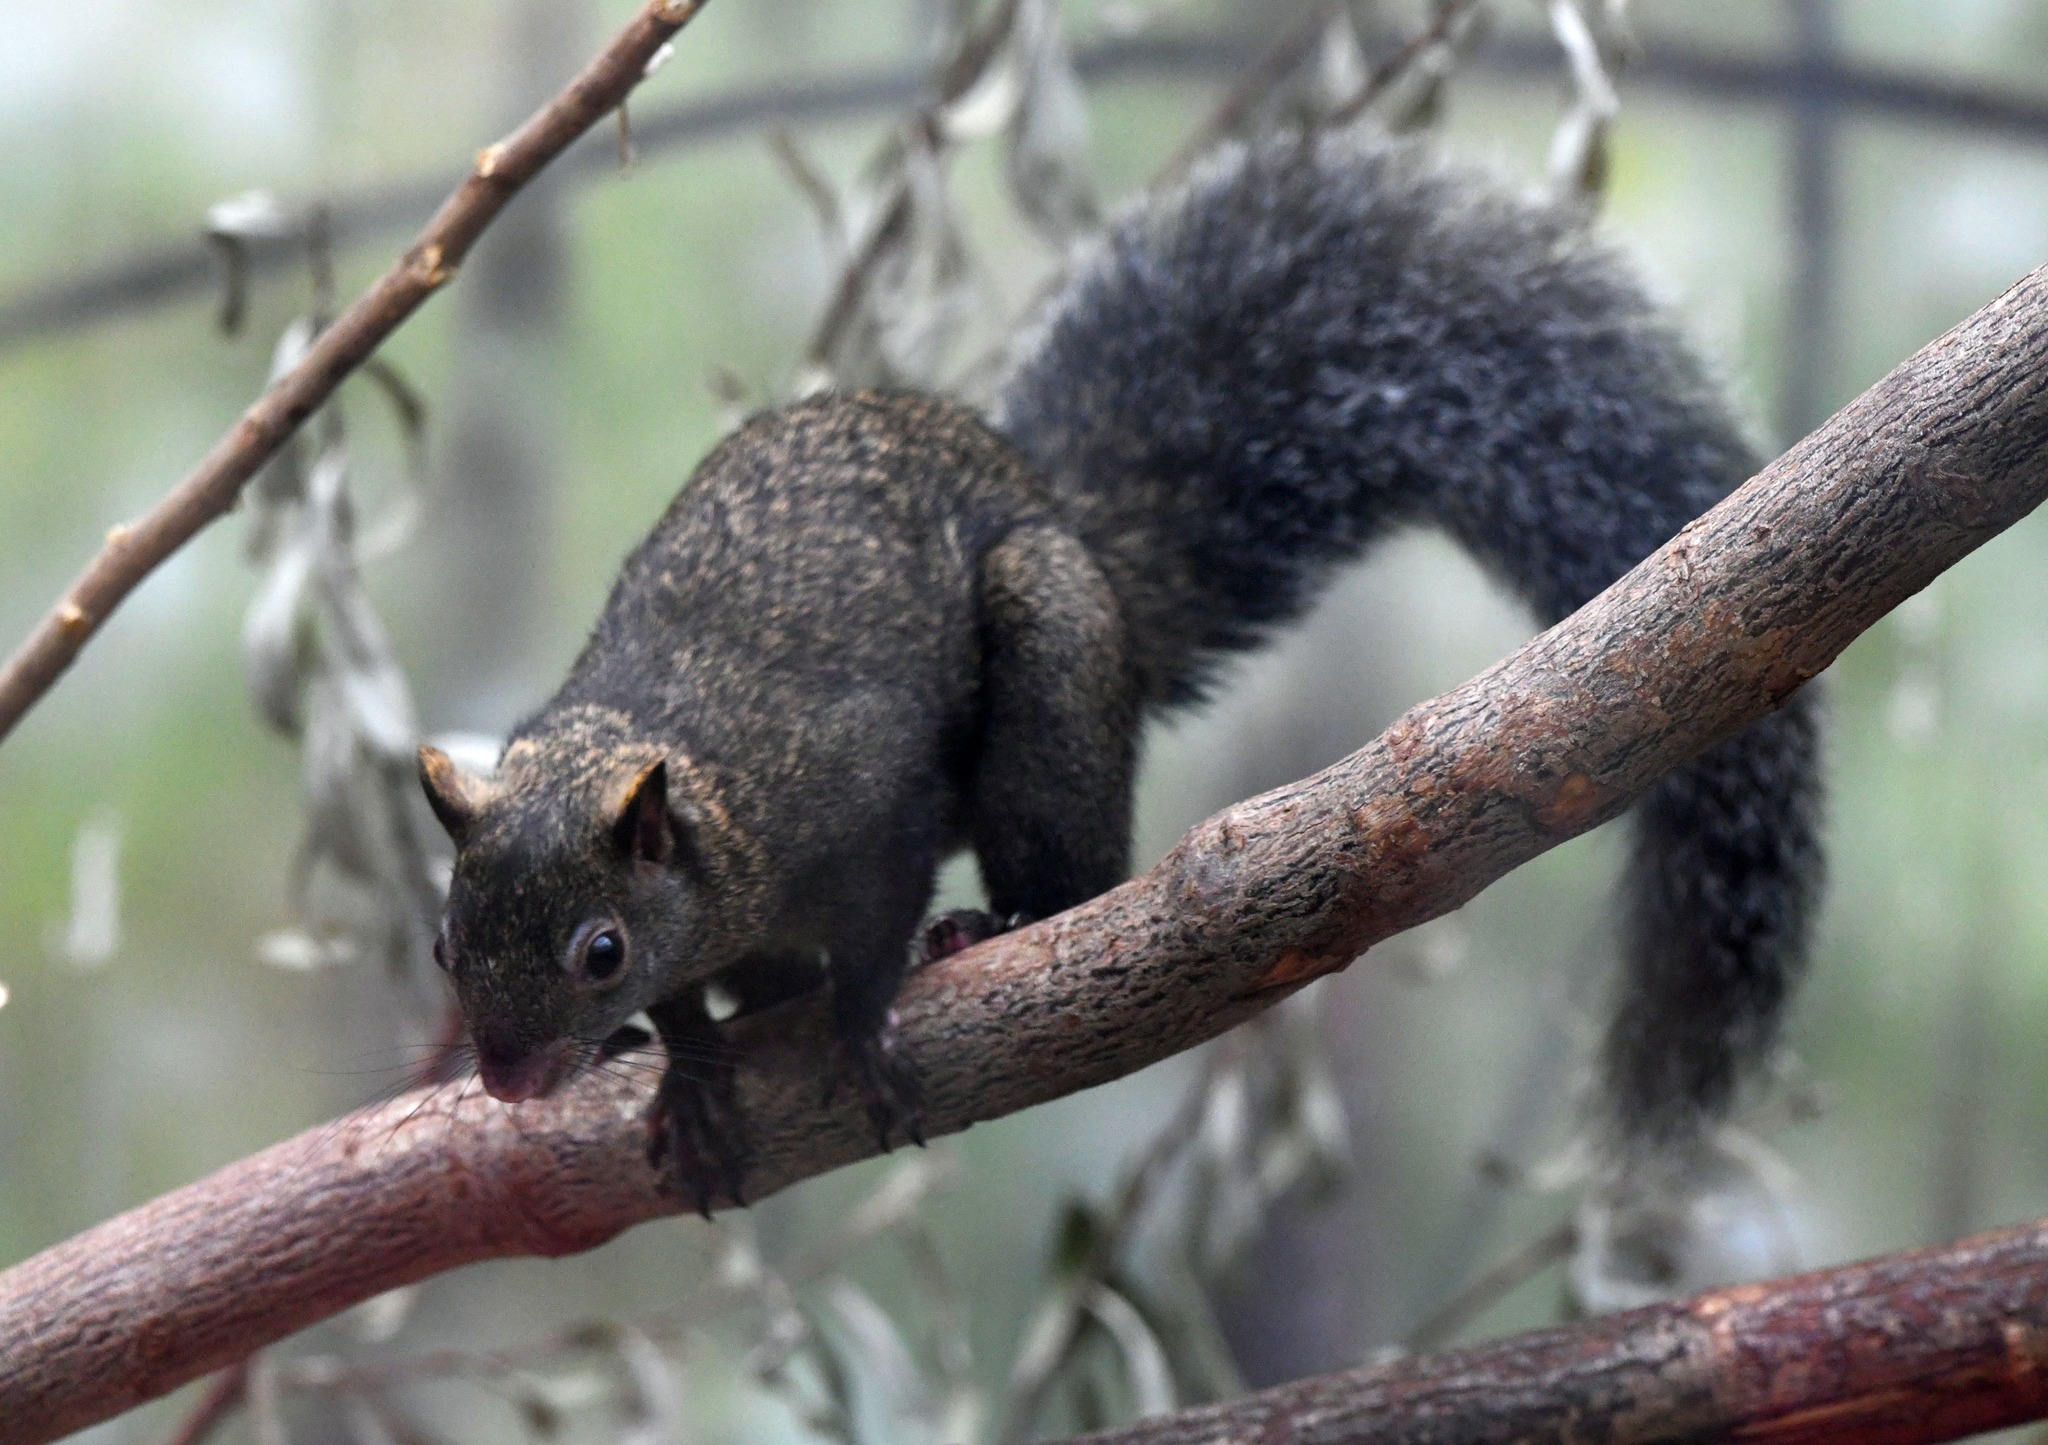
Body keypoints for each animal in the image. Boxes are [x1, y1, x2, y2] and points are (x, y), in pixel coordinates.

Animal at [418, 128, 1823, 1217]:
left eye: (600, 948)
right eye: (442, 939)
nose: (502, 1075)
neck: (698, 779)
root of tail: (1078, 538)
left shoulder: (866, 797)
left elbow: (874, 919)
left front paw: (862, 1018)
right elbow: (702, 1006)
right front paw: (690, 1070)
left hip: (1046, 670)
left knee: (1071, 871)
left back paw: (993, 924)